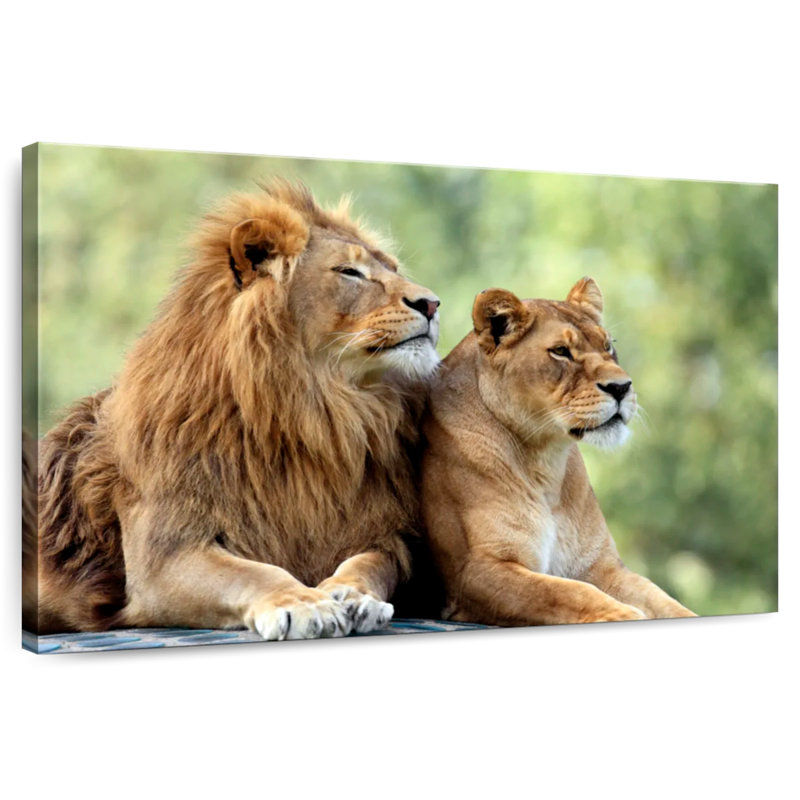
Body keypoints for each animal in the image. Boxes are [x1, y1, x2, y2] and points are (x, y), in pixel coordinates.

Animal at [26, 180, 442, 640]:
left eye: (393, 267)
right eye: (349, 272)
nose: (432, 303)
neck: (315, 412)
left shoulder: (383, 535)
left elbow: (369, 564)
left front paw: (353, 595)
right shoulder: (163, 557)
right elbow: (255, 572)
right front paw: (303, 604)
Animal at [420, 278, 695, 625]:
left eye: (608, 346)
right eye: (561, 352)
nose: (622, 387)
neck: (545, 462)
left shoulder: (600, 565)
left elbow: (663, 600)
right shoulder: (475, 572)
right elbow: (565, 592)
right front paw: (625, 614)